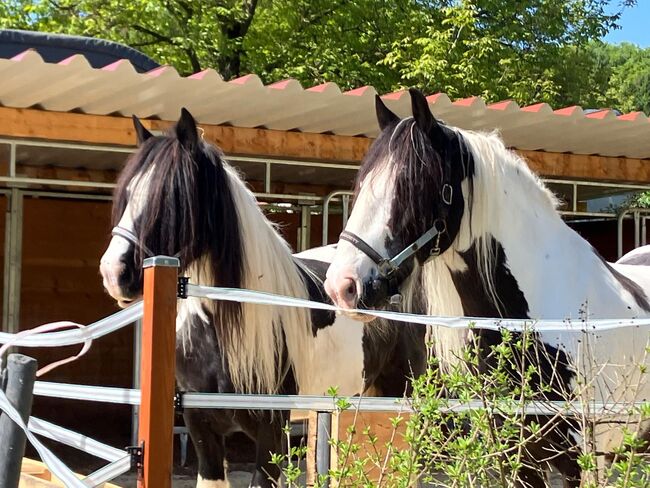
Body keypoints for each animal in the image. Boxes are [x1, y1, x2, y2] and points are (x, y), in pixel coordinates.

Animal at [97, 110, 426, 488]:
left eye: (170, 196)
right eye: (127, 194)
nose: (113, 273)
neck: (223, 332)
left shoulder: (270, 433)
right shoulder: (202, 429)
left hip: (402, 394)